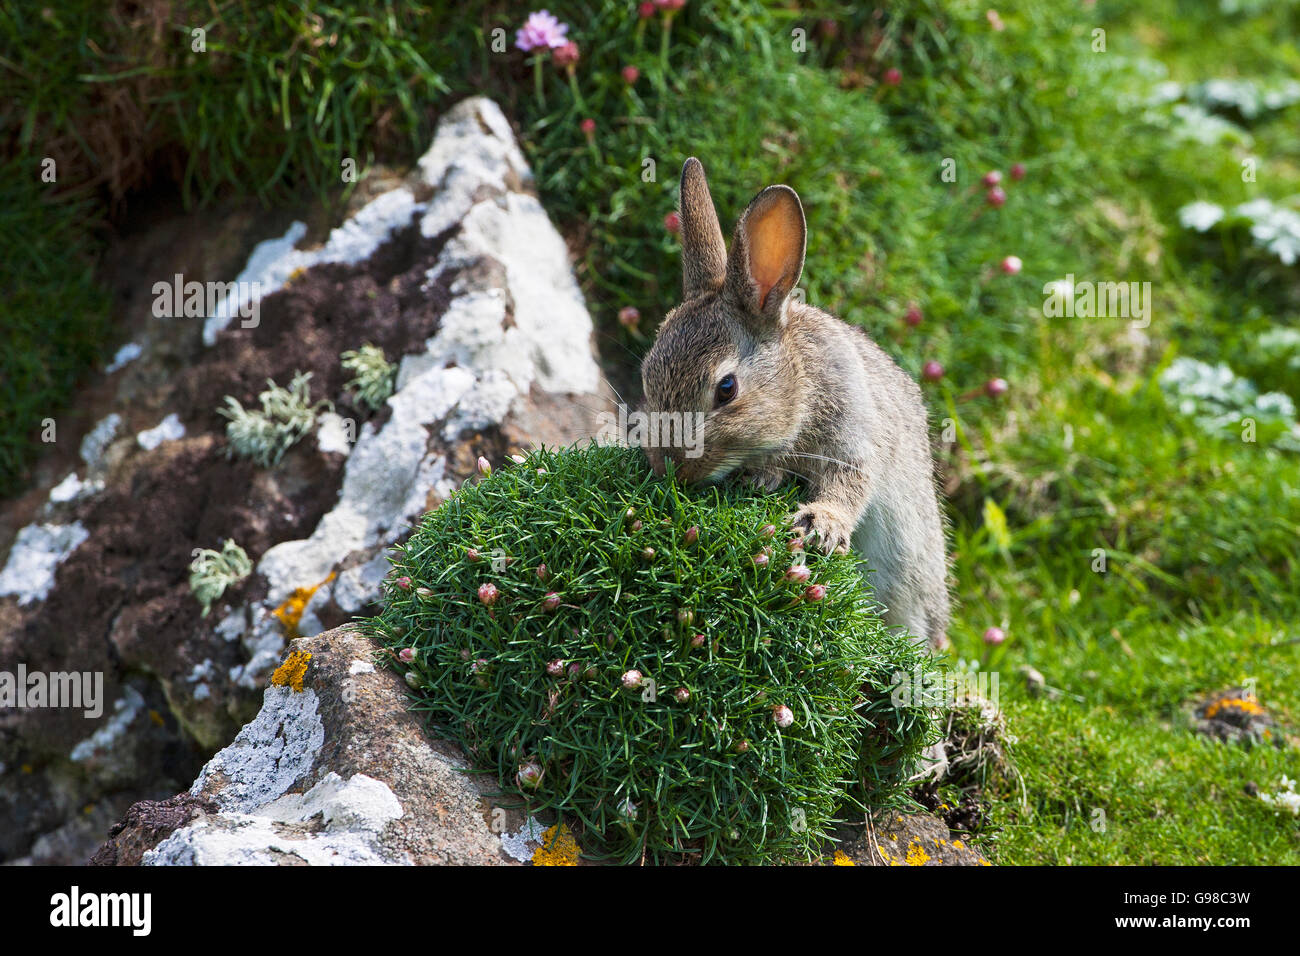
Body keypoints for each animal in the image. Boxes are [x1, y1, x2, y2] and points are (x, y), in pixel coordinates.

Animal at [641, 158, 951, 651]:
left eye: (726, 388)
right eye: (646, 374)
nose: (668, 468)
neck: (802, 382)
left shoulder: (850, 427)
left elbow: (851, 481)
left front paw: (818, 525)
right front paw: (762, 479)